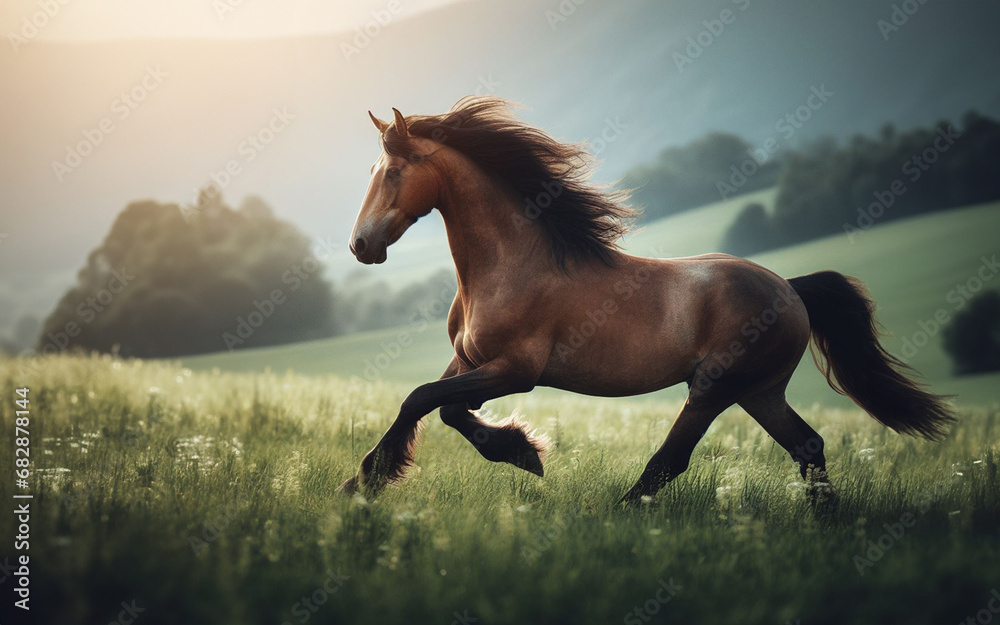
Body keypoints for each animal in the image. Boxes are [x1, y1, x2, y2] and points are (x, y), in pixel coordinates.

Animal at [339, 96, 955, 505]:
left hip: (715, 387)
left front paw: (521, 454)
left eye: (393, 172)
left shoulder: (516, 370)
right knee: (808, 445)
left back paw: (622, 511)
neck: (512, 264)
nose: (360, 245)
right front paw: (370, 478)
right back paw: (825, 523)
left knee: (674, 458)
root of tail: (790, 288)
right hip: (760, 392)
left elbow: (423, 398)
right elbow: (435, 406)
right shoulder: (468, 360)